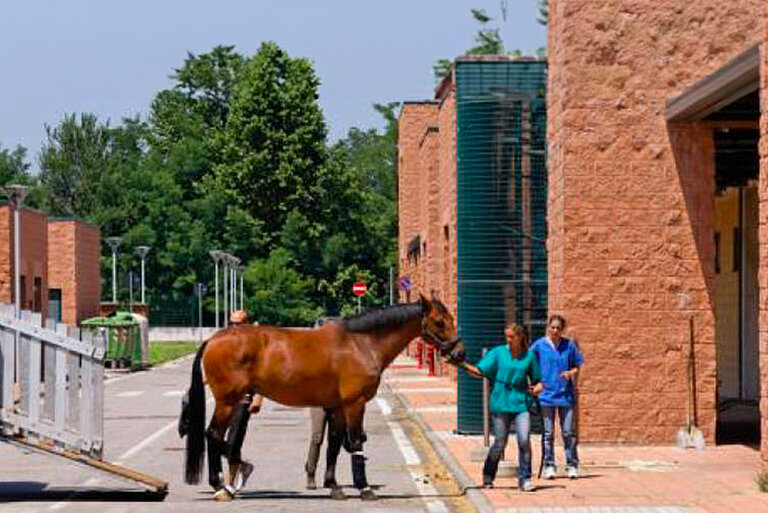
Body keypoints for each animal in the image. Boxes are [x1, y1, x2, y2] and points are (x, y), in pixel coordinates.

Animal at [183, 292, 464, 500]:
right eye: (440, 322)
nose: (460, 352)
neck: (360, 344)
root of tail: (214, 339)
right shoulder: (354, 404)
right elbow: (355, 442)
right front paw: (364, 488)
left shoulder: (336, 406)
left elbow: (334, 445)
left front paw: (334, 485)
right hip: (227, 401)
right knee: (214, 435)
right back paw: (223, 484)